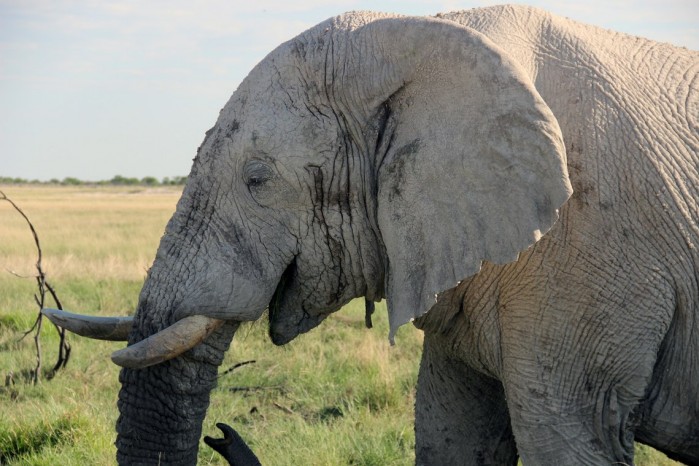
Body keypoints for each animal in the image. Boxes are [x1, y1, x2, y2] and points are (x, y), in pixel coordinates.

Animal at [45, 4, 699, 466]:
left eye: (257, 179)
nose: (221, 434)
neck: (427, 35)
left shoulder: (587, 252)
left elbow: (568, 440)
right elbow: (452, 434)